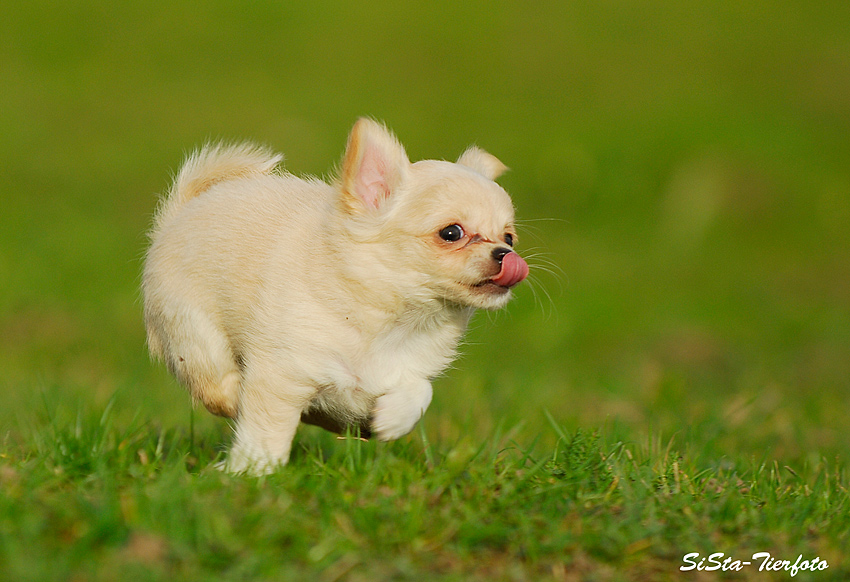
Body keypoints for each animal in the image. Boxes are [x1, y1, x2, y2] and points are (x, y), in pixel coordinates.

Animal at [142, 118, 528, 474]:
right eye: (451, 233)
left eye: (509, 238)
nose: (506, 256)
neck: (390, 319)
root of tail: (181, 211)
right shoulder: (282, 374)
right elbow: (267, 430)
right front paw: (253, 471)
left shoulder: (402, 369)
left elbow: (419, 391)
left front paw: (391, 420)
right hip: (190, 324)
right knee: (210, 376)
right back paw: (231, 395)